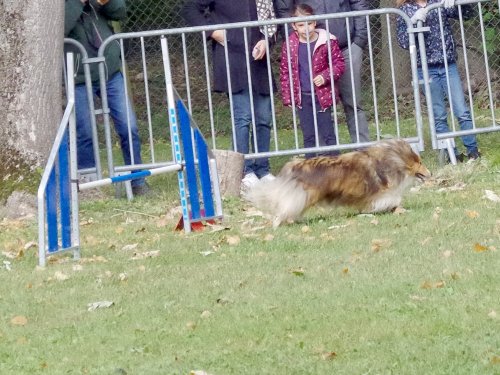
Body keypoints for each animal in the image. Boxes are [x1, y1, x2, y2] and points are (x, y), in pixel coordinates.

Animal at [245, 140, 430, 228]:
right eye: (420, 162)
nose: (431, 173)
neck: (393, 159)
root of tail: (294, 166)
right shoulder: (381, 193)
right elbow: (393, 199)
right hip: (304, 196)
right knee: (285, 209)